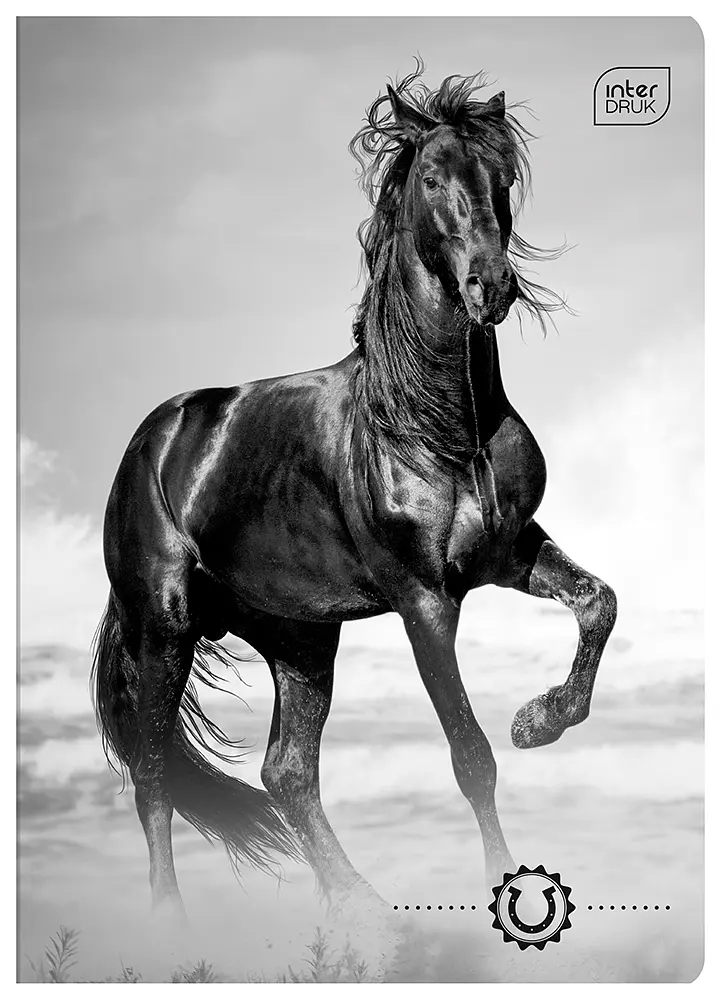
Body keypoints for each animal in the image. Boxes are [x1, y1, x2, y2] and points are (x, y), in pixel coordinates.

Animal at [92, 65, 617, 923]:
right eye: (432, 178)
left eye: (500, 178)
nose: (491, 285)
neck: (435, 424)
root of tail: (154, 441)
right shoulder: (423, 599)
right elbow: (469, 755)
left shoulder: (511, 553)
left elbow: (598, 603)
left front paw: (537, 720)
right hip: (163, 626)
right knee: (154, 777)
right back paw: (172, 922)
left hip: (299, 640)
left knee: (286, 772)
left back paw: (363, 910)